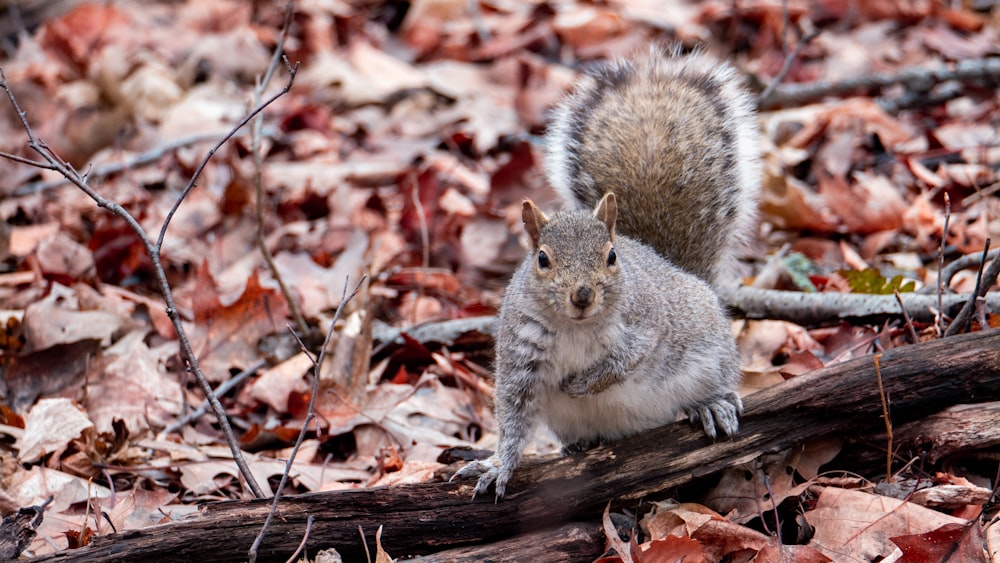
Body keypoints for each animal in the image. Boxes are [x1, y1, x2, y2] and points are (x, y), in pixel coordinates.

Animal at [454, 46, 756, 500]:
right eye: (541, 259)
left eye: (611, 257)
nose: (582, 295)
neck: (576, 327)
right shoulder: (521, 356)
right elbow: (513, 417)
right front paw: (497, 466)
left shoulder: (646, 324)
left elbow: (626, 361)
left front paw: (581, 385)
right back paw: (579, 446)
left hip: (709, 350)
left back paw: (710, 404)